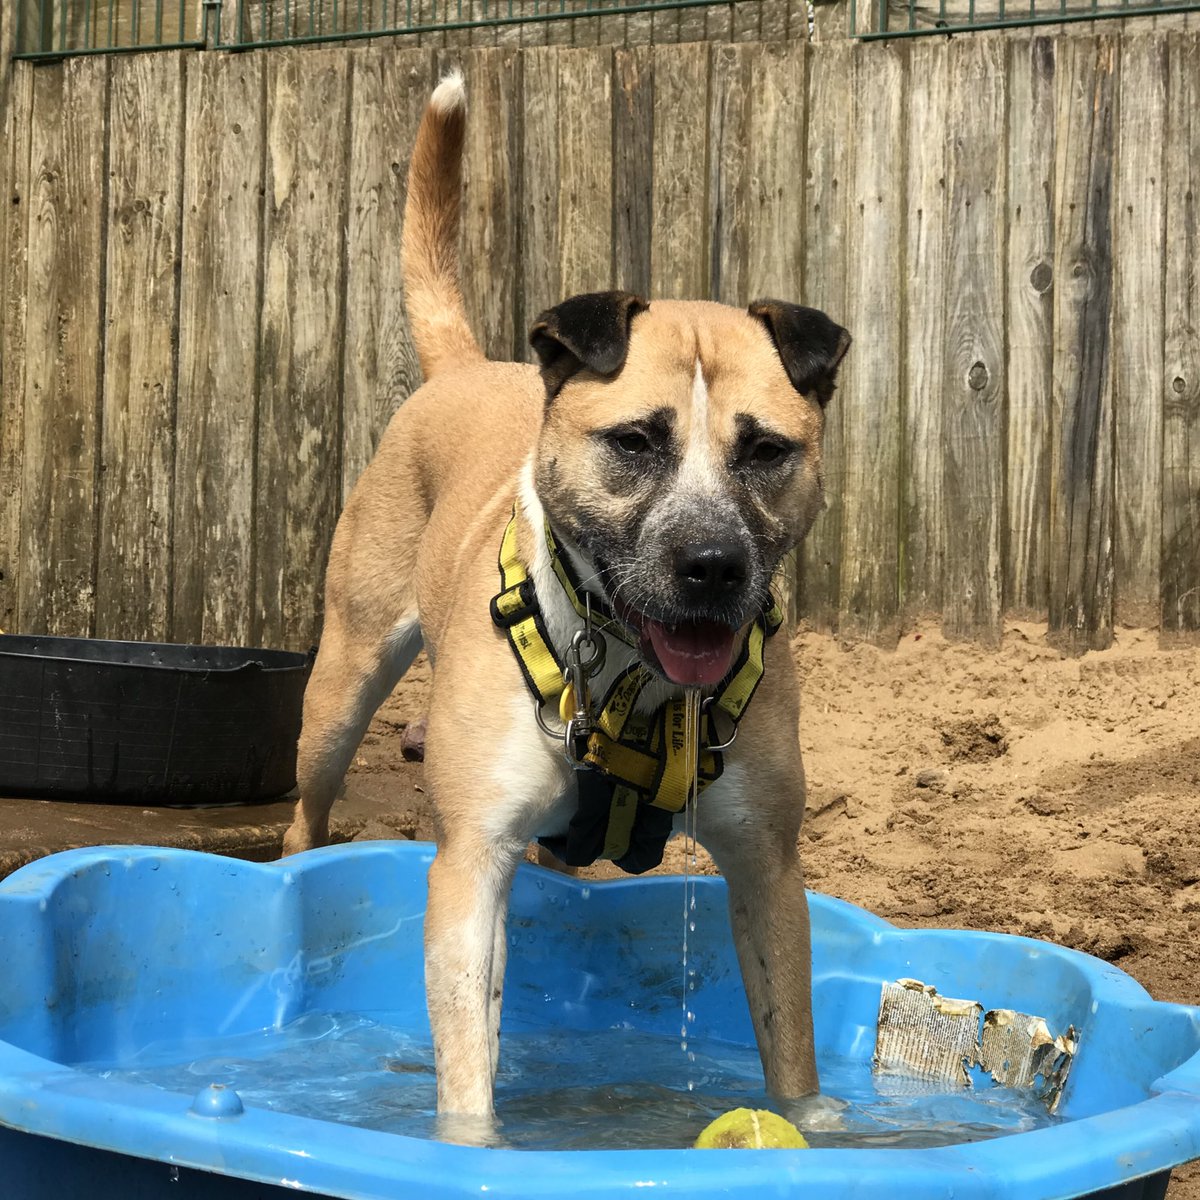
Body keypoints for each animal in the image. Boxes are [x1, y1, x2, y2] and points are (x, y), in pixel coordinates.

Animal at [282, 70, 849, 1123]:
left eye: (765, 449)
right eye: (634, 441)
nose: (712, 565)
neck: (632, 682)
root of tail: (468, 368)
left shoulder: (767, 867)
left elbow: (790, 1052)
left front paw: (821, 1132)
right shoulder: (472, 860)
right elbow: (468, 1070)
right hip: (339, 692)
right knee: (308, 806)